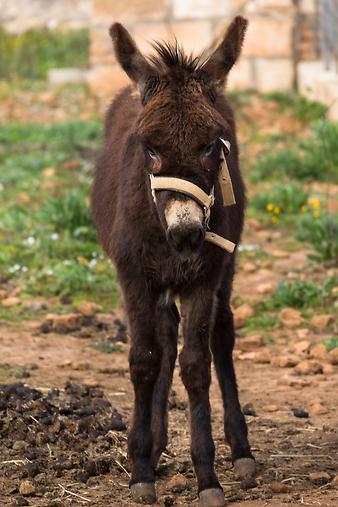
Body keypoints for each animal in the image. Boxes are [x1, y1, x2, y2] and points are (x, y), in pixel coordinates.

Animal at [92, 15, 256, 507]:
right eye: (148, 147)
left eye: (214, 145)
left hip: (225, 269)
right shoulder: (133, 275)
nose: (185, 234)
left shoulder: (206, 275)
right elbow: (145, 360)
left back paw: (241, 451)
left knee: (221, 335)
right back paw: (155, 443)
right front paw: (141, 469)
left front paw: (208, 478)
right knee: (163, 338)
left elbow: (197, 364)